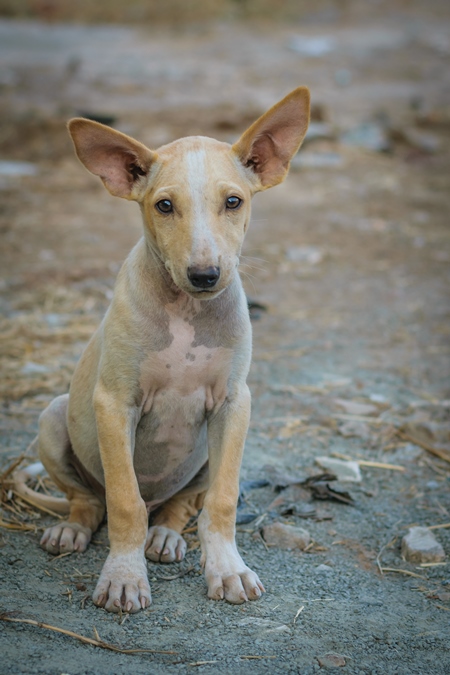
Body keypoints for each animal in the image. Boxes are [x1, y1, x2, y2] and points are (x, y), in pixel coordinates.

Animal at [34, 88, 310, 612]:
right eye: (164, 206)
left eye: (233, 201)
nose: (205, 275)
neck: (187, 311)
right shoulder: (114, 403)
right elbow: (124, 501)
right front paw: (123, 577)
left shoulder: (234, 403)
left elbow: (222, 500)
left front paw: (228, 569)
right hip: (55, 419)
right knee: (93, 500)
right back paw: (73, 530)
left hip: (202, 455)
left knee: (178, 505)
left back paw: (165, 535)